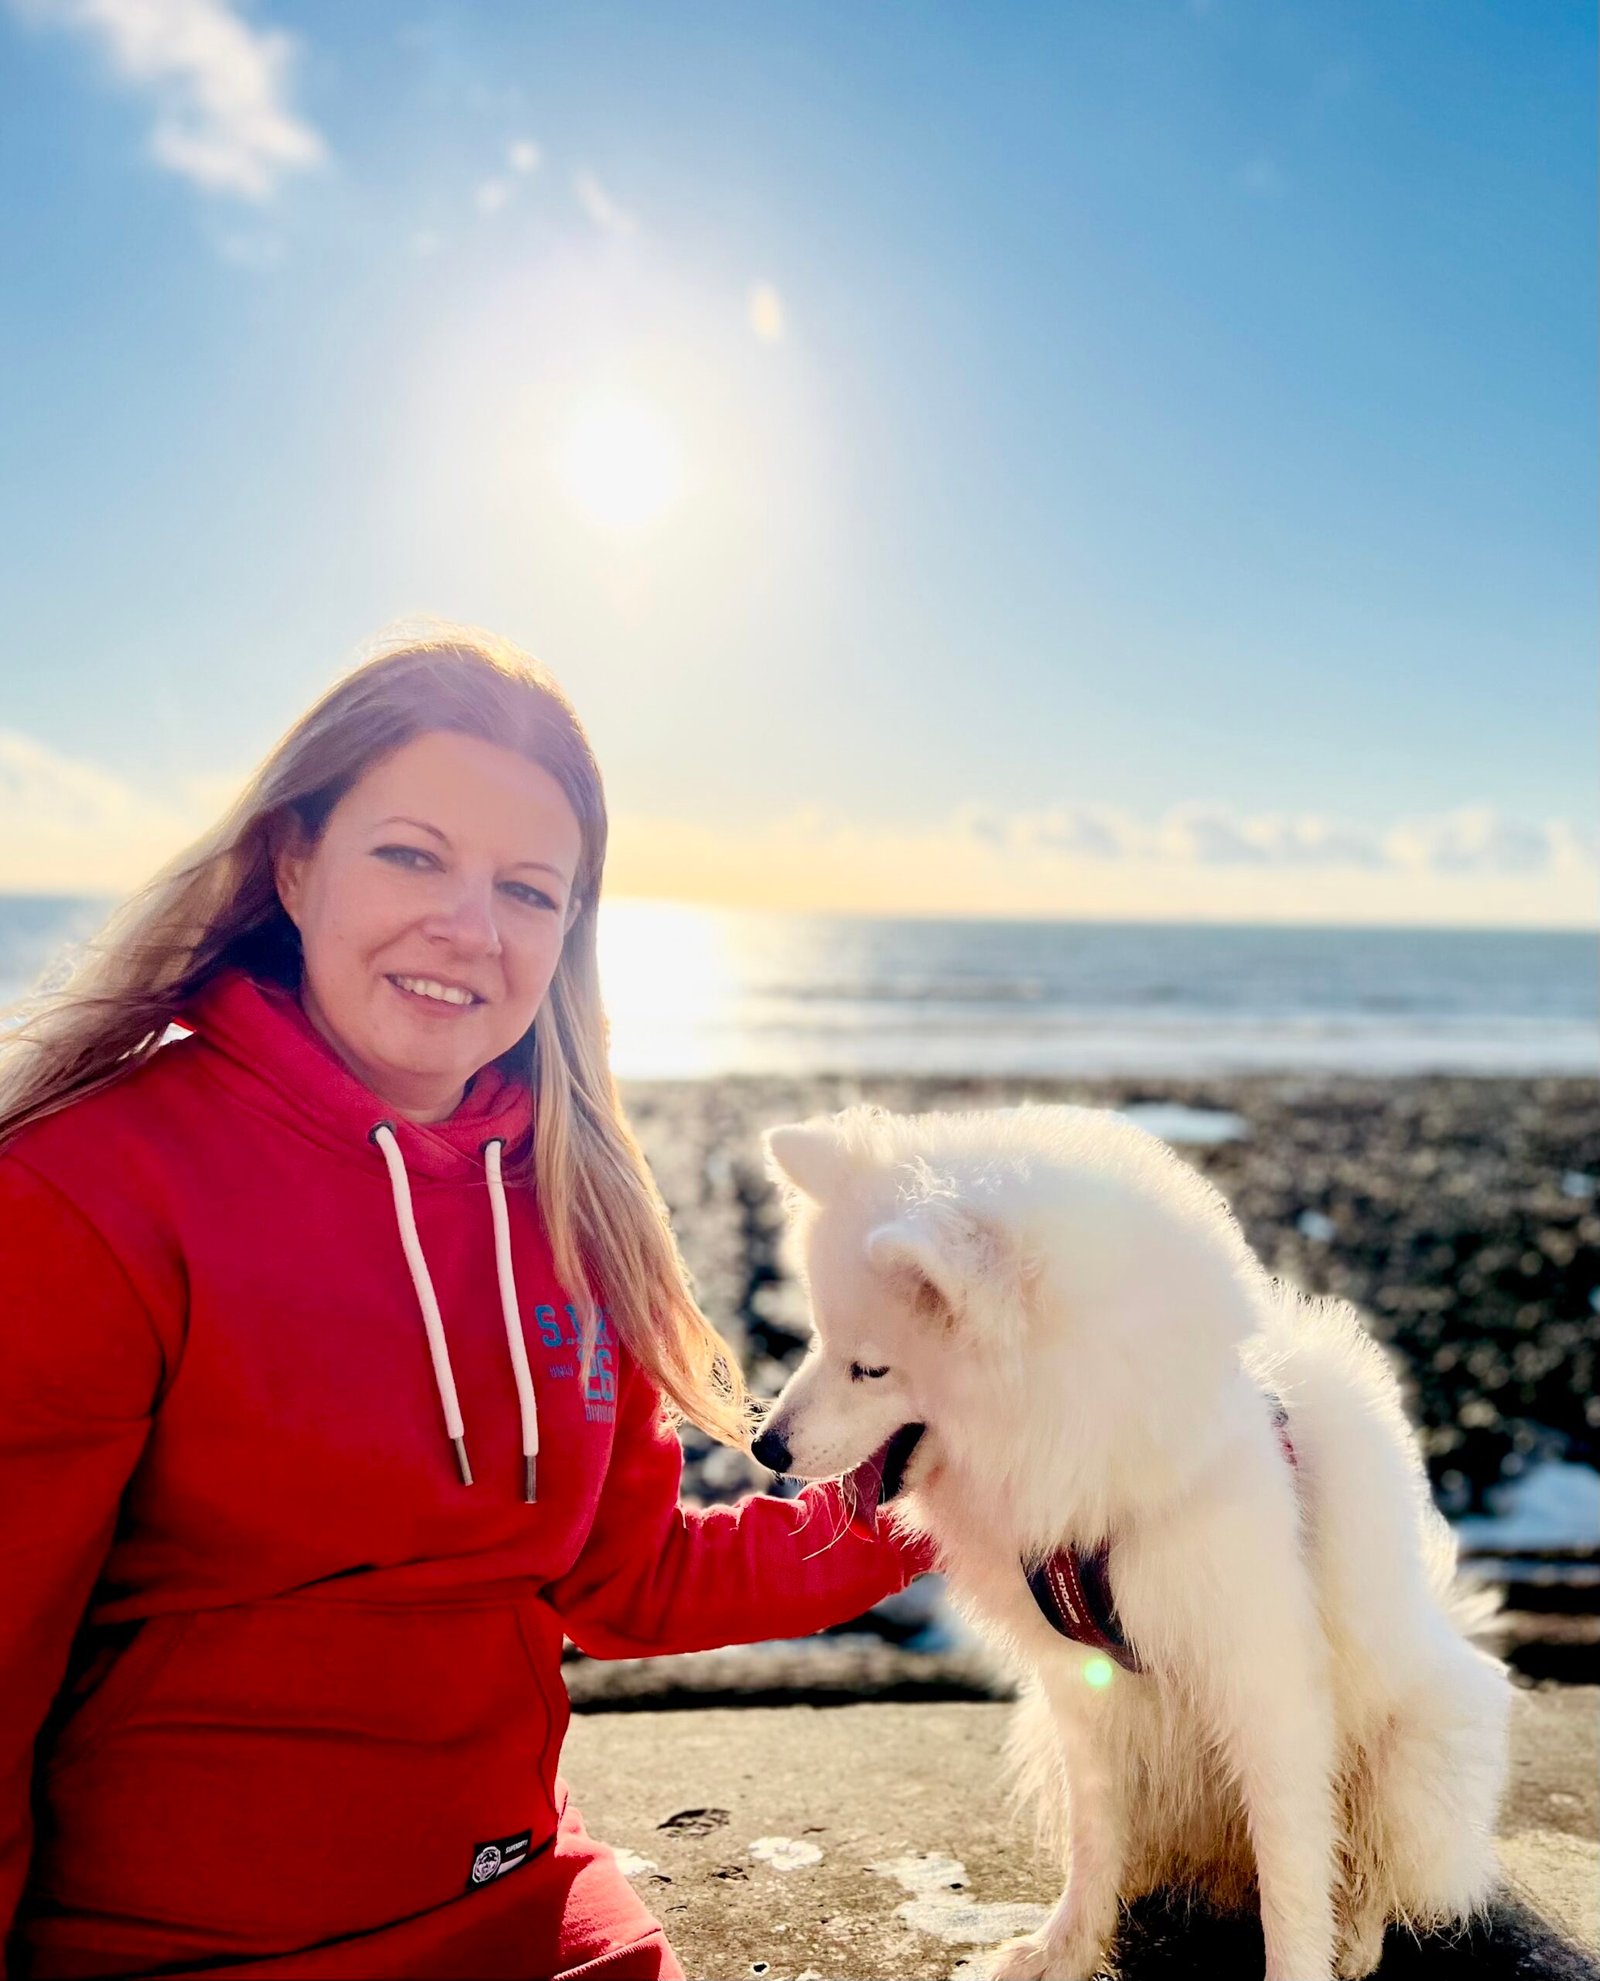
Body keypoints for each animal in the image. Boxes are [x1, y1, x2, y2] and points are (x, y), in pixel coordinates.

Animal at [756, 1101, 1504, 1981]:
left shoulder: (1266, 1682)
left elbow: (1293, 1874)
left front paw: (1301, 1960)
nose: (764, 1445)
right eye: (817, 1340)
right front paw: (1067, 1946)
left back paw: (1354, 1934)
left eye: (870, 1368)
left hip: (1412, 1749)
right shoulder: (1081, 1685)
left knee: (1371, 1868)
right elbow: (1093, 1834)